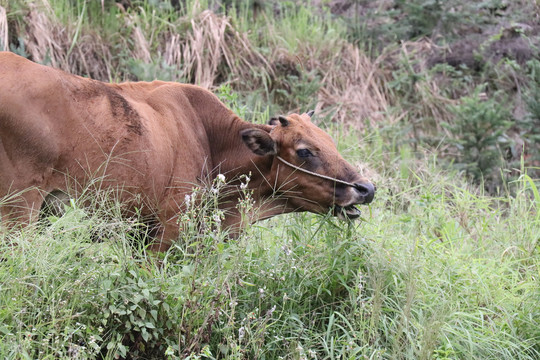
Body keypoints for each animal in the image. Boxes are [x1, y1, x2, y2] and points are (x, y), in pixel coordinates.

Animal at [0, 51, 374, 250]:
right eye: (304, 151)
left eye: (331, 143)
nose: (366, 189)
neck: (212, 141)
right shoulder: (167, 230)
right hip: (19, 210)